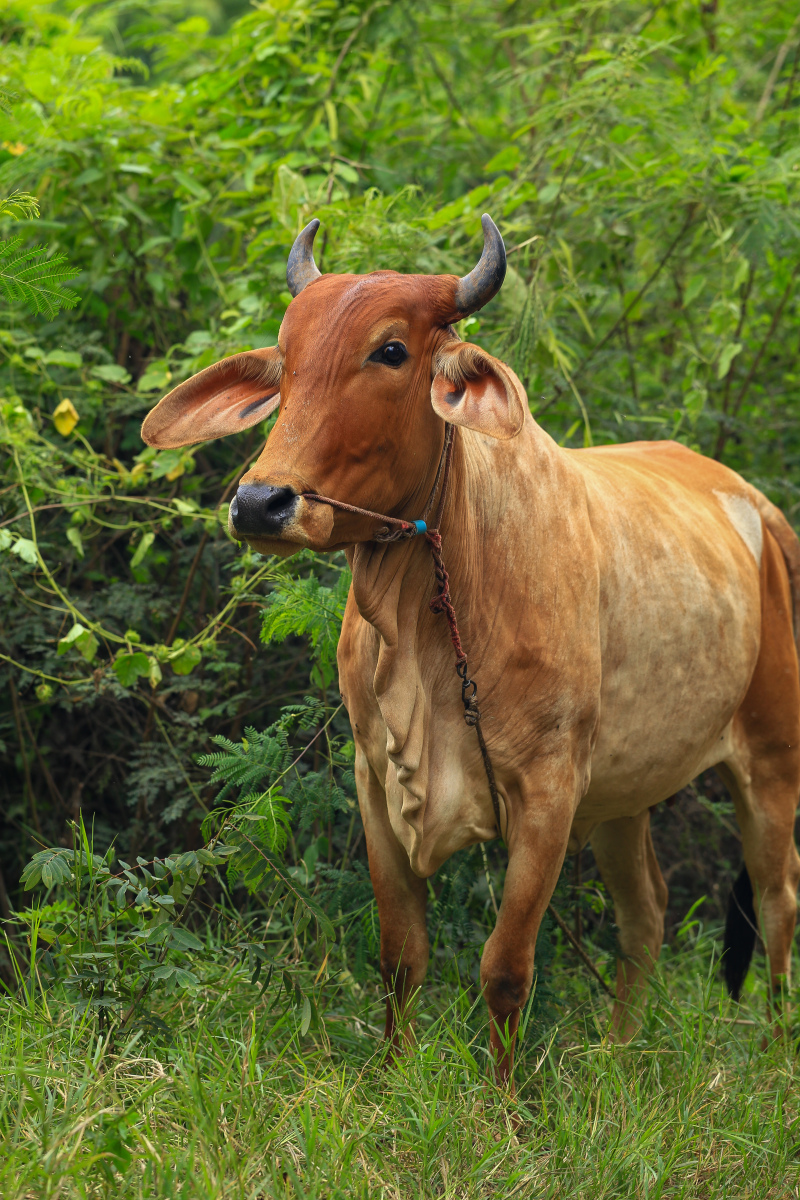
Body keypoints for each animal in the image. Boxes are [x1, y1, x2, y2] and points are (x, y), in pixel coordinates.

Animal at [143, 216, 800, 1089]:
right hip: (624, 792)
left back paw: (776, 1055)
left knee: (778, 900)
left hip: (769, 761)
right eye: (285, 359)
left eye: (390, 350)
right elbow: (399, 955)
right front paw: (392, 1080)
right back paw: (618, 1055)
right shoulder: (375, 778)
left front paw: (503, 1101)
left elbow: (506, 968)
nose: (261, 502)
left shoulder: (549, 793)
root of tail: (756, 505)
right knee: (647, 912)